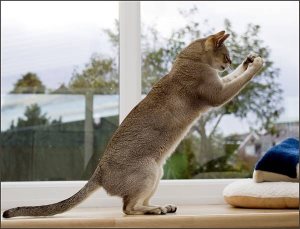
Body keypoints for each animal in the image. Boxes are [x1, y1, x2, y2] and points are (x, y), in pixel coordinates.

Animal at [3, 30, 264, 218]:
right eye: (226, 55)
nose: (229, 62)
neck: (188, 60)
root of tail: (99, 172)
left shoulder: (219, 84)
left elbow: (235, 77)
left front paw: (248, 60)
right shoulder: (217, 94)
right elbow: (238, 81)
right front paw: (256, 64)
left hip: (157, 172)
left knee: (136, 202)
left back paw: (162, 206)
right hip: (148, 169)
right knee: (127, 208)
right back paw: (155, 210)